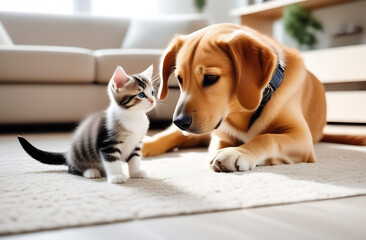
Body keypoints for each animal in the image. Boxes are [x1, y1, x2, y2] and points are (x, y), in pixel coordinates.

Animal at [18, 64, 156, 183]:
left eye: (153, 92)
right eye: (141, 94)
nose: (153, 100)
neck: (134, 116)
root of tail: (68, 153)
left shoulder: (136, 143)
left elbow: (134, 160)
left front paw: (136, 173)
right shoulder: (107, 144)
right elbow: (112, 161)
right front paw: (116, 176)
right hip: (79, 154)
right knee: (72, 169)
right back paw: (90, 171)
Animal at [142, 23, 364, 172]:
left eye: (211, 77)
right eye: (179, 79)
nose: (180, 121)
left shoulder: (302, 137)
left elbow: (266, 138)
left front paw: (238, 152)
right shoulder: (220, 134)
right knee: (167, 135)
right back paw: (144, 144)